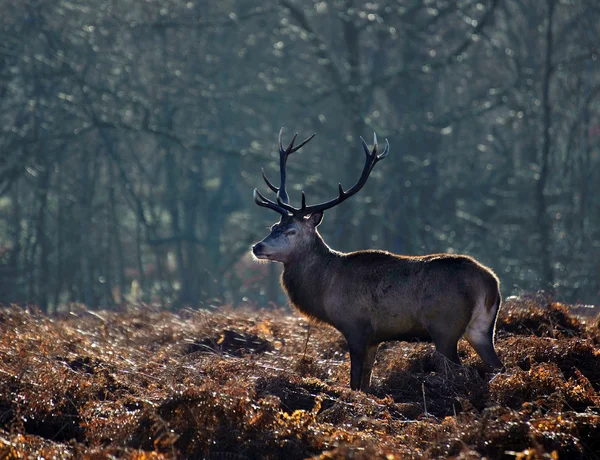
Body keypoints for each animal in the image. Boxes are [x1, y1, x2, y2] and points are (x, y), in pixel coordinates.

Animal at [251, 129, 504, 392]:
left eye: (291, 231)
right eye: (274, 226)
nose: (257, 247)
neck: (324, 288)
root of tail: (491, 282)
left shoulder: (356, 327)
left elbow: (355, 382)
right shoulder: (375, 338)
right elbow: (366, 382)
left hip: (445, 326)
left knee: (460, 370)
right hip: (481, 328)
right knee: (498, 366)